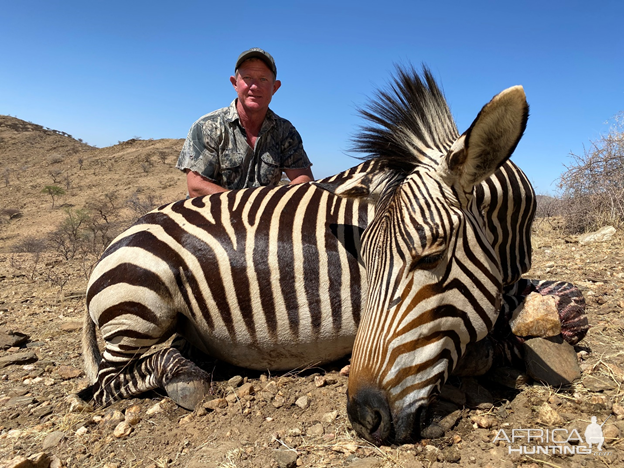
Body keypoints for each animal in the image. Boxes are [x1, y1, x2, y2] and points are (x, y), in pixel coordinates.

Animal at [80, 66, 532, 442]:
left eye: (432, 256)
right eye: (365, 261)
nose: (364, 417)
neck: (510, 233)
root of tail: (113, 243)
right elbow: (502, 330)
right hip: (141, 305)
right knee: (105, 383)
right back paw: (186, 377)